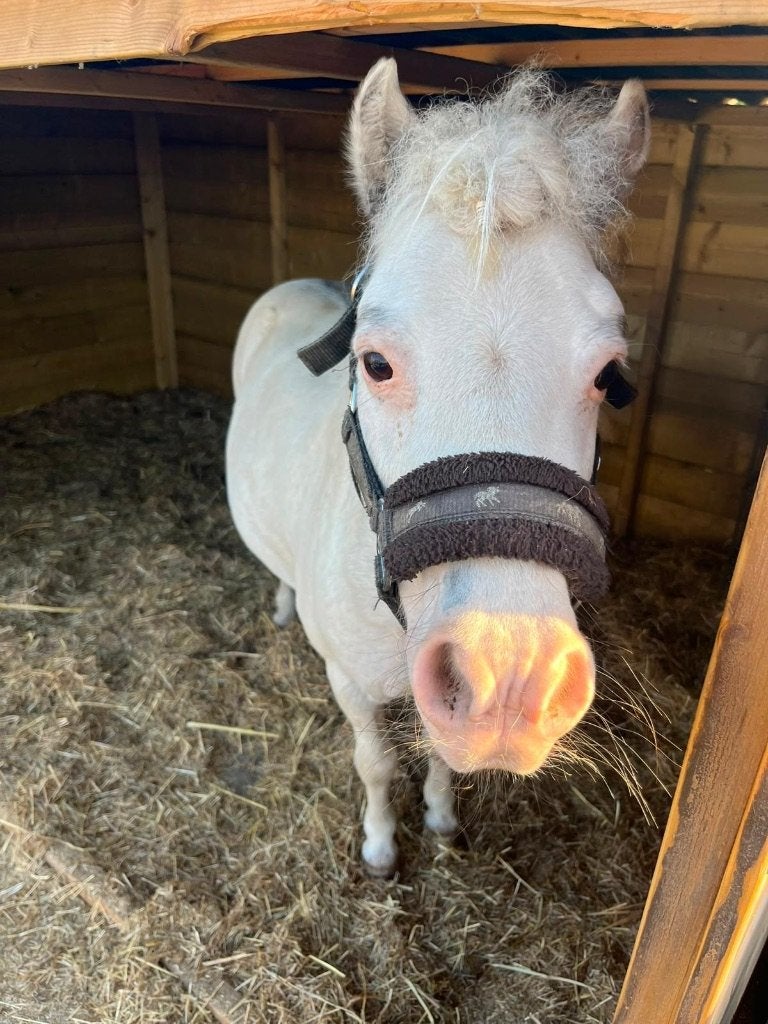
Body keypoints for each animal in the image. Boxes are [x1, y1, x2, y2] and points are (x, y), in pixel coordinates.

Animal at [226, 59, 649, 875]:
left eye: (607, 373)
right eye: (376, 362)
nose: (511, 678)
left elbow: (444, 760)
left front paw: (443, 817)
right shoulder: (351, 683)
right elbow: (376, 762)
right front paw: (381, 845)